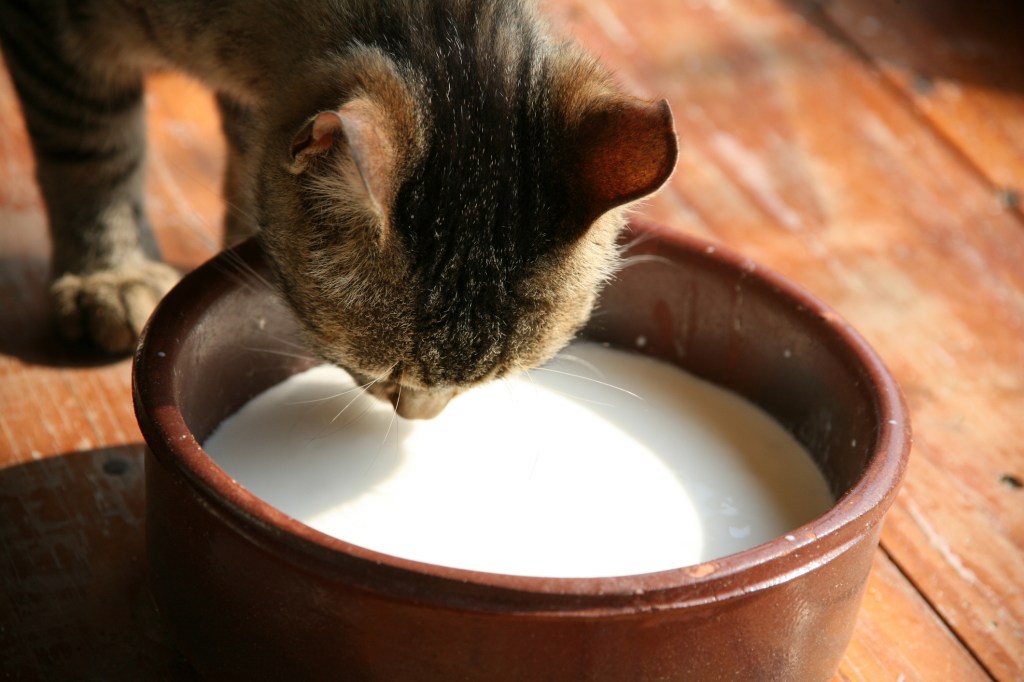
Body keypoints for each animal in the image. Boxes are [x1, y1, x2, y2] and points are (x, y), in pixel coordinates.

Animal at [0, 0, 675, 417]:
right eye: (386, 367)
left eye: (495, 378)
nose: (420, 417)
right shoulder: (59, 39)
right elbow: (93, 149)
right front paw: (109, 272)